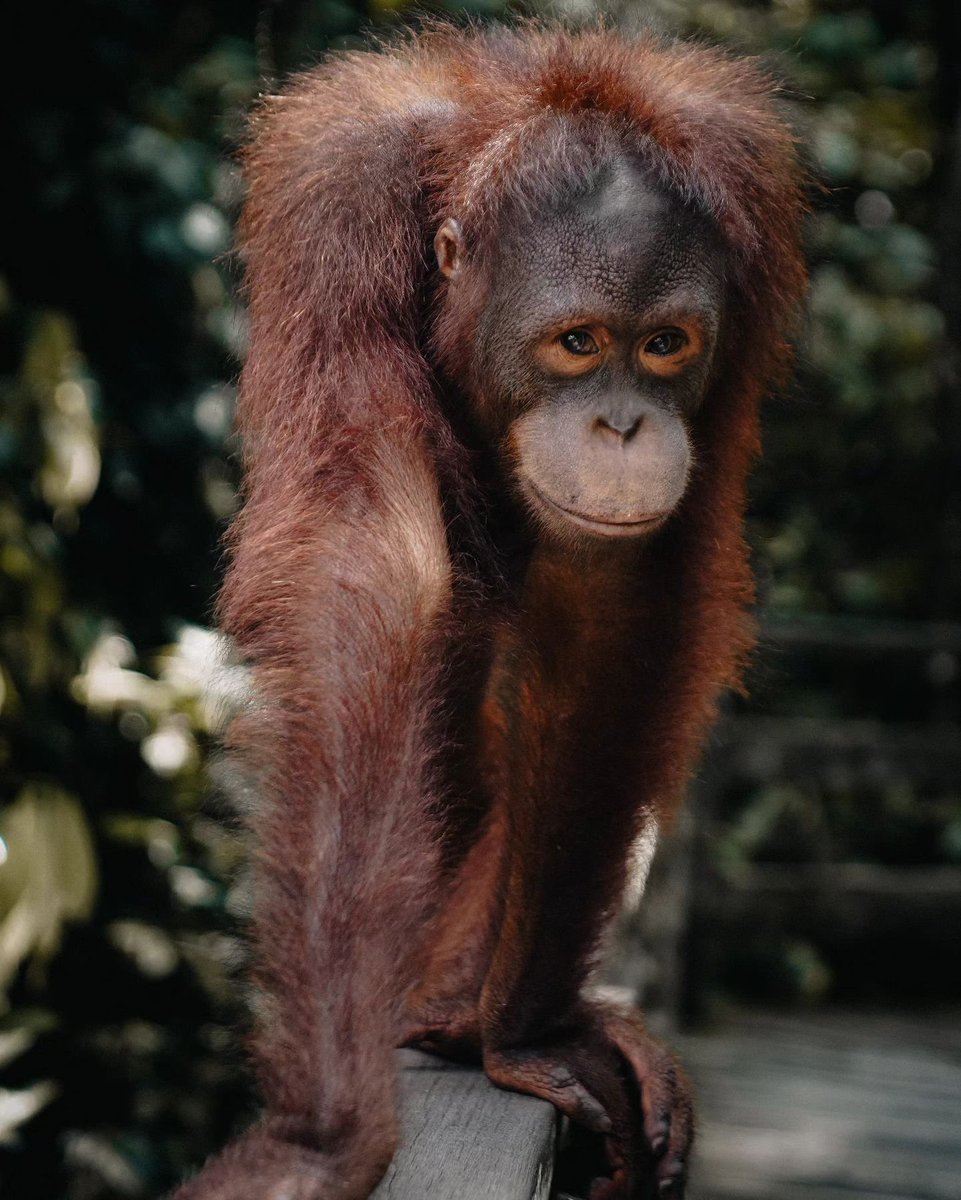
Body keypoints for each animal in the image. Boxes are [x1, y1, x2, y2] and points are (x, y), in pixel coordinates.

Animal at [173, 23, 807, 1200]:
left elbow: (614, 594)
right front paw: (321, 1143)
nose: (620, 427)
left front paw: (522, 1034)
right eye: (577, 343)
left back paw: (465, 1016)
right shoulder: (339, 206)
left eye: (662, 346)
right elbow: (371, 561)